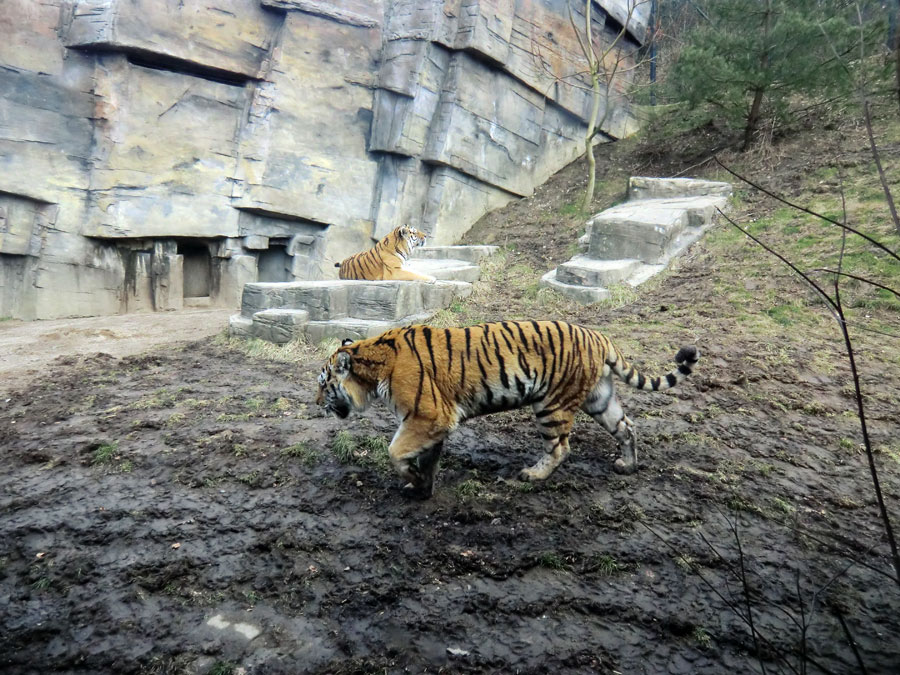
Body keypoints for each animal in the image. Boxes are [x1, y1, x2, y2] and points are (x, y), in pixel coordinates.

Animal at [316, 320, 704, 500]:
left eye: (323, 383)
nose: (317, 404)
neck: (373, 366)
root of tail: (599, 336)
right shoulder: (433, 424)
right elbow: (427, 459)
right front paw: (422, 487)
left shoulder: (427, 416)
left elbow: (394, 451)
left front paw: (411, 479)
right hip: (600, 399)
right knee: (627, 427)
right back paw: (628, 466)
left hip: (551, 404)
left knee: (561, 447)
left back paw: (532, 475)